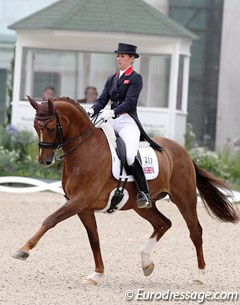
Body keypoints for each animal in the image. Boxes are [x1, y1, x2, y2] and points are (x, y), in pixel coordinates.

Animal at [12, 96, 238, 284]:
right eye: (35, 126)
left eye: (50, 127)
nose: (44, 160)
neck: (85, 151)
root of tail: (183, 151)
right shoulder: (83, 207)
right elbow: (94, 239)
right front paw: (97, 274)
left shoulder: (80, 200)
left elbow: (50, 220)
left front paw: (23, 250)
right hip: (142, 205)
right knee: (163, 223)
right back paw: (146, 263)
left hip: (185, 198)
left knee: (195, 232)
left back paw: (199, 276)